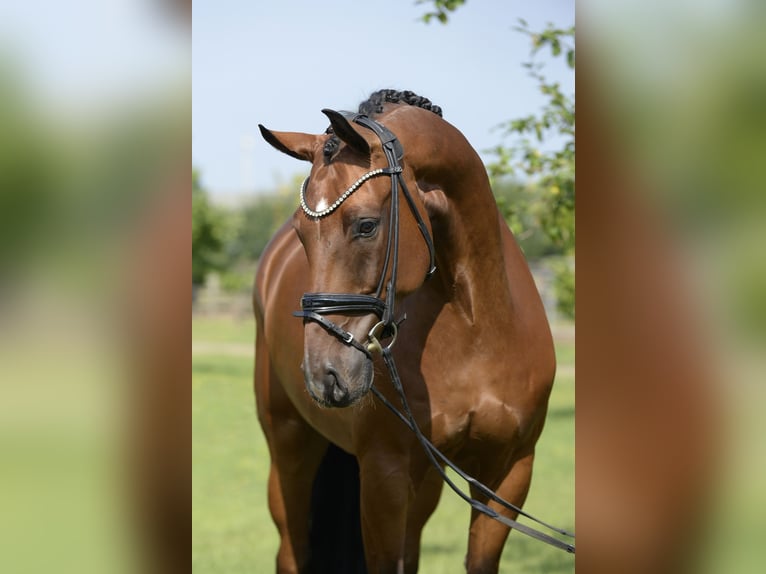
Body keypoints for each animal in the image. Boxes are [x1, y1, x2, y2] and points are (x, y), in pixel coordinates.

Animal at [255, 91, 560, 574]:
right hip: (289, 443)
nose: (324, 375)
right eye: (302, 233)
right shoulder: (386, 472)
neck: (476, 327)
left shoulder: (507, 472)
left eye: (366, 225)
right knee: (291, 550)